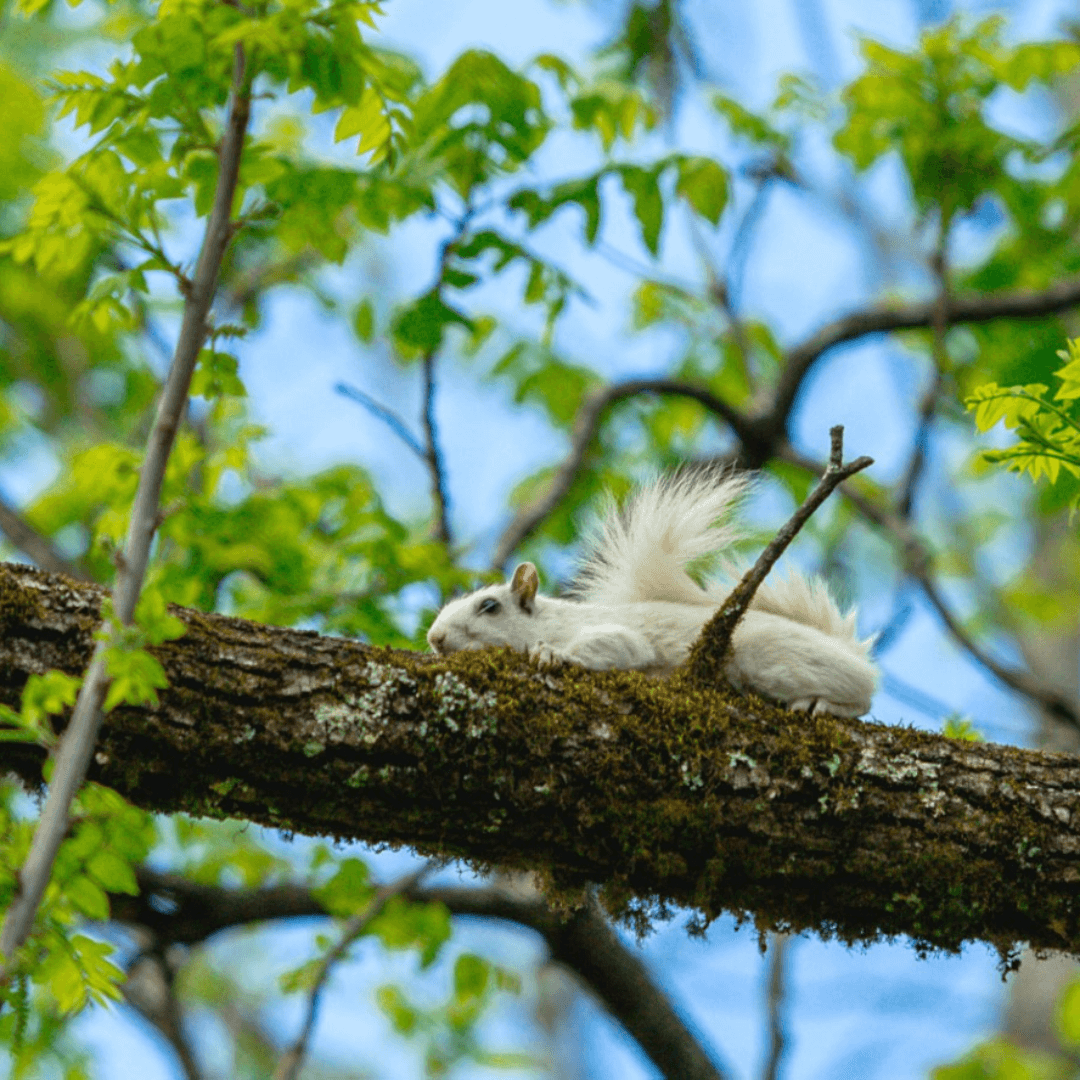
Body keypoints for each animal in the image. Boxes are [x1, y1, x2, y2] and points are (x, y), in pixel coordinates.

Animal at [426, 467, 878, 717]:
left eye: (489, 606)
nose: (434, 637)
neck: (553, 620)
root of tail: (851, 653)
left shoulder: (618, 636)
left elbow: (615, 647)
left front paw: (554, 655)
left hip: (772, 658)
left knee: (865, 696)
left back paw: (823, 705)